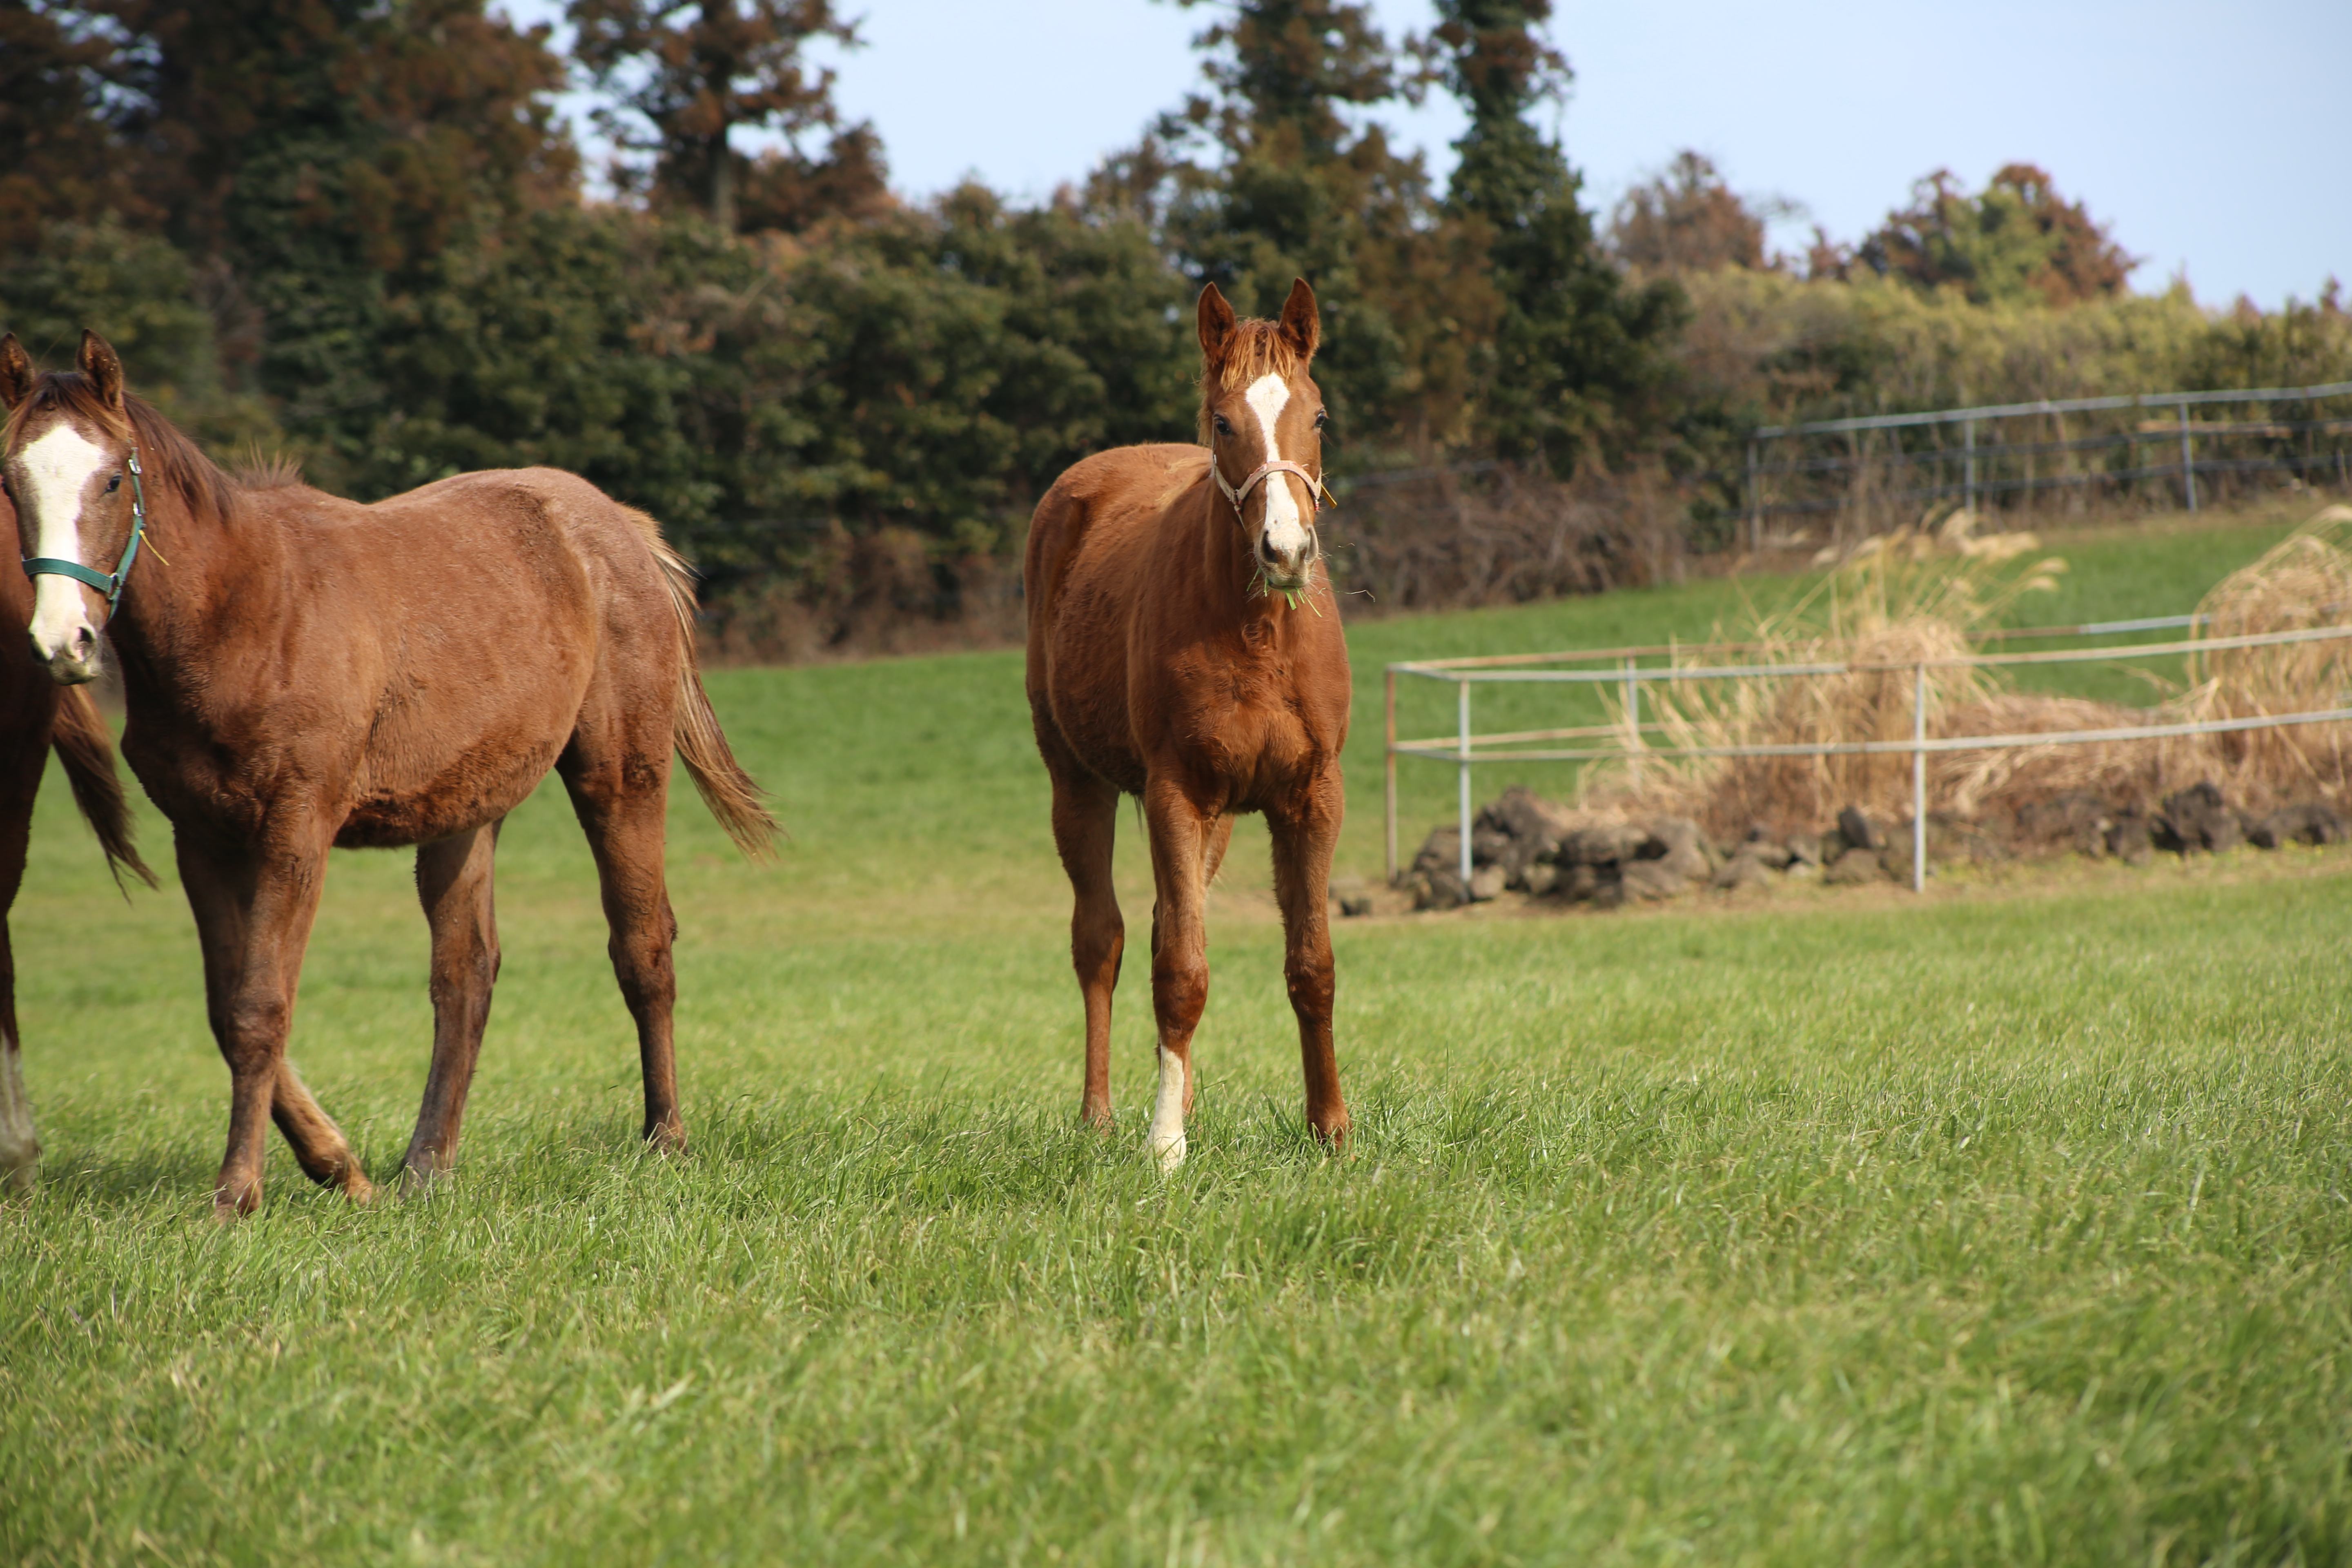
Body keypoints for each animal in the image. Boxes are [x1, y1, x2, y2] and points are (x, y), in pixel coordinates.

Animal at [0, 329, 771, 1213]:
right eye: (12, 482)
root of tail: (618, 526)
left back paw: (665, 1140)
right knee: (465, 974)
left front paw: (239, 1193)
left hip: (620, 773)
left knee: (642, 945)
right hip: (466, 810)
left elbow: (261, 1005)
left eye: (112, 478)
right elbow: (227, 1007)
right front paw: (334, 1167)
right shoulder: (201, 836)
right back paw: (426, 1167)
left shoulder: (297, 826)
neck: (245, 612)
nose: (64, 641)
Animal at [1030, 278, 1364, 1166]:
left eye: (1319, 416)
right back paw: (1102, 1116)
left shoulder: (1311, 798)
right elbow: (1181, 970)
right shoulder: (1174, 793)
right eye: (1223, 422)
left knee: (1156, 929)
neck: (1258, 633)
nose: (1287, 551)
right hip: (1077, 783)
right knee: (1102, 941)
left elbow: (1311, 965)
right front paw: (1165, 1146)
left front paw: (1331, 1130)